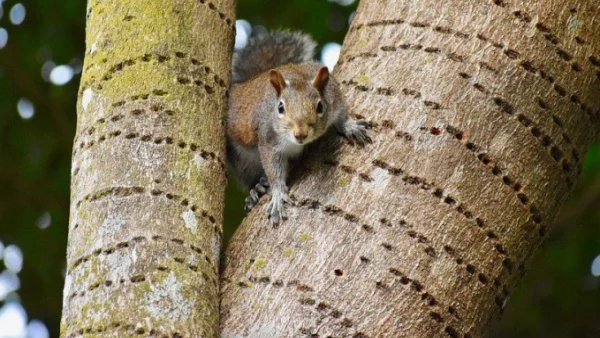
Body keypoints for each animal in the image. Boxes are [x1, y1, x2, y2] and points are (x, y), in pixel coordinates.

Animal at [226, 27, 370, 224]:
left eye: (320, 106)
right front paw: (278, 196)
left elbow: (341, 114)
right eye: (280, 107)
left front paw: (350, 126)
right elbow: (273, 168)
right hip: (242, 161)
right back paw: (256, 189)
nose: (300, 134)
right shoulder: (268, 138)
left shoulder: (333, 96)